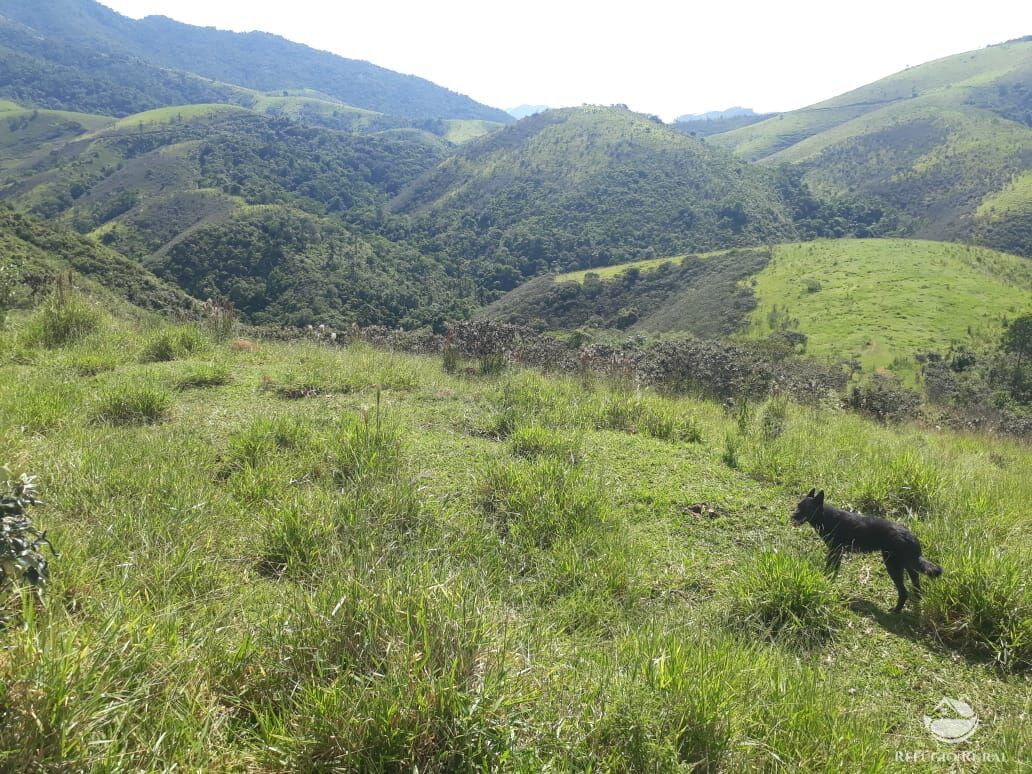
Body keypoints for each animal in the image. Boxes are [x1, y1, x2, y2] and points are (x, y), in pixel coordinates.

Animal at [788, 491, 945, 610]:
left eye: (805, 509)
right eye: (797, 506)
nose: (791, 516)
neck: (825, 517)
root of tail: (911, 536)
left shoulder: (836, 552)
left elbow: (831, 569)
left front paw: (827, 581)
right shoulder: (835, 552)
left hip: (892, 566)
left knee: (903, 592)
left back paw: (895, 611)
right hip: (907, 566)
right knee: (916, 582)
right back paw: (916, 600)